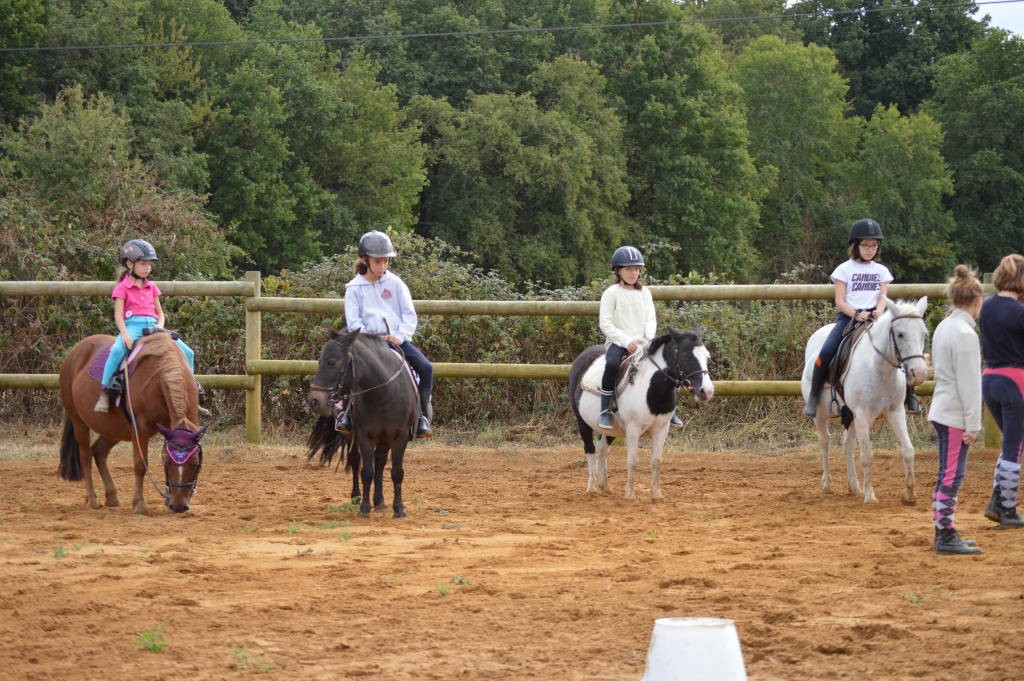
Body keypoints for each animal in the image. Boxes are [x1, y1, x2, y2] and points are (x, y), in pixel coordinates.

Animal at [57, 331, 207, 512]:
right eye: (167, 462)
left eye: (195, 463)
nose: (178, 506)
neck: (159, 377)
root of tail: (74, 353)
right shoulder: (140, 428)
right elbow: (140, 465)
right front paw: (139, 504)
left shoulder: (168, 426)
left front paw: (167, 499)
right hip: (78, 421)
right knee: (85, 456)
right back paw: (92, 499)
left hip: (115, 428)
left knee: (98, 452)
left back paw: (111, 496)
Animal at [303, 327, 419, 516]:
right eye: (319, 361)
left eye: (332, 362)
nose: (314, 400)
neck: (383, 394)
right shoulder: (364, 436)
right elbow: (366, 472)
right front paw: (364, 507)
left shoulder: (399, 436)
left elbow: (396, 472)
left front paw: (399, 509)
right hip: (352, 436)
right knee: (355, 461)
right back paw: (357, 498)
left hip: (384, 437)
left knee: (379, 462)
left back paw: (379, 501)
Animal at [569, 329, 712, 499]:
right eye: (686, 356)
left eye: (707, 356)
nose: (707, 391)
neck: (651, 390)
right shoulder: (633, 429)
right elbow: (632, 461)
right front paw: (630, 495)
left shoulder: (662, 429)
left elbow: (657, 461)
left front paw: (656, 494)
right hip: (582, 422)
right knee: (590, 449)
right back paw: (592, 487)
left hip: (612, 429)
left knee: (602, 449)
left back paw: (605, 486)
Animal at [802, 294, 933, 501]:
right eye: (900, 334)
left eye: (924, 334)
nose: (919, 373)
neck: (880, 369)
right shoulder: (863, 415)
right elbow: (867, 456)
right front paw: (870, 496)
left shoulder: (895, 413)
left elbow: (908, 450)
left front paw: (909, 495)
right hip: (821, 416)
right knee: (825, 443)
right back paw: (827, 484)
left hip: (851, 417)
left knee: (847, 444)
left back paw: (854, 486)